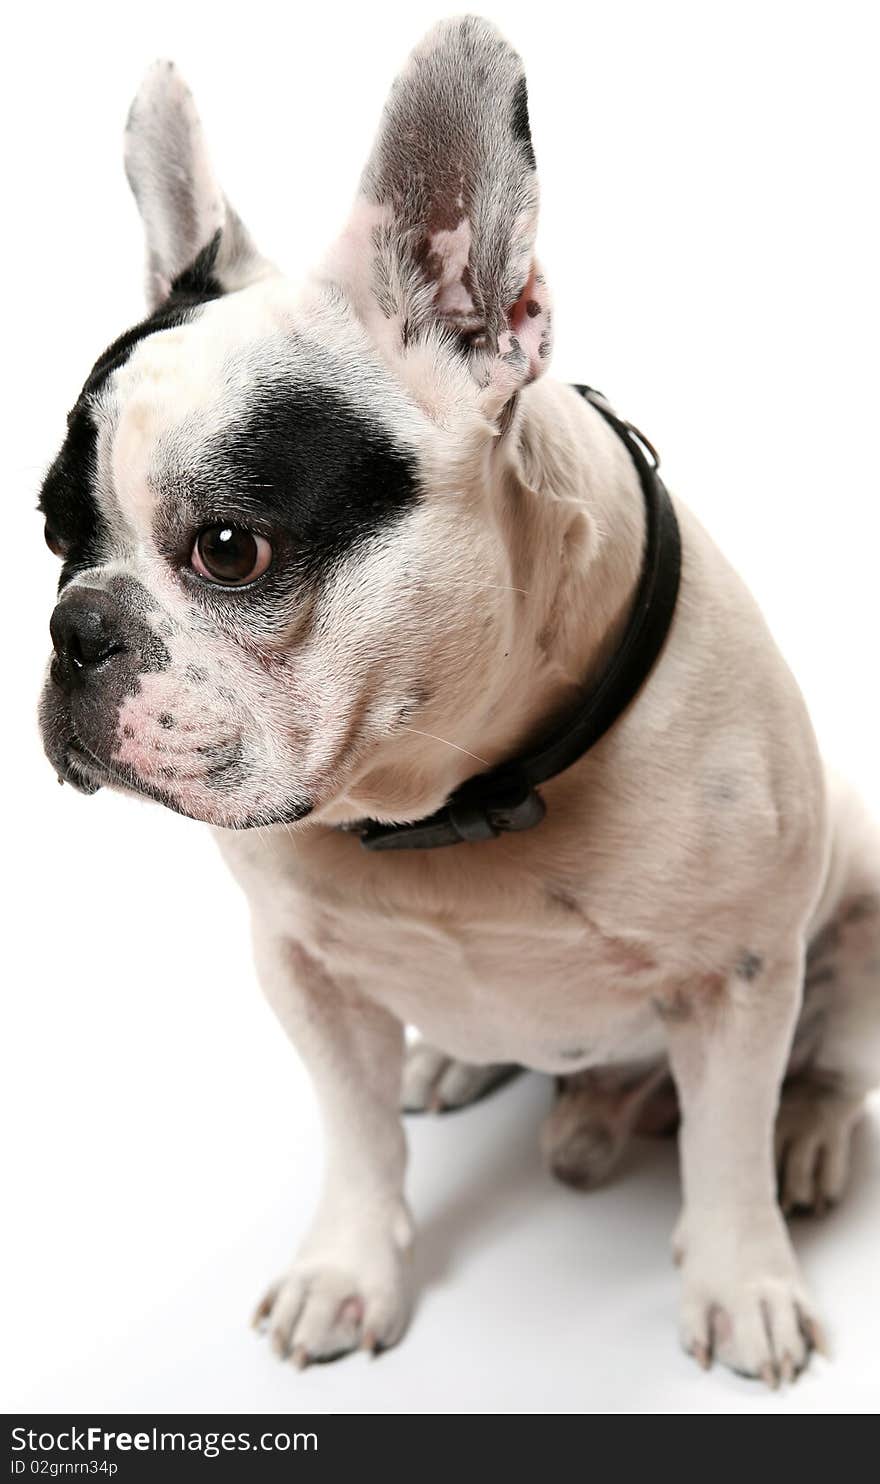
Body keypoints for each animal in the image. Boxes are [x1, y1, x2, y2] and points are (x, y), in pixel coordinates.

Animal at [35, 17, 878, 1383]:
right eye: (56, 535)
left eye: (229, 547)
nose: (76, 629)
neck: (450, 799)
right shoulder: (304, 972)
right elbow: (357, 1133)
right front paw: (347, 1269)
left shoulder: (744, 978)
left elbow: (724, 1151)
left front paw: (743, 1281)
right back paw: (444, 1063)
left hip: (861, 919)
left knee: (827, 1065)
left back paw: (809, 1135)